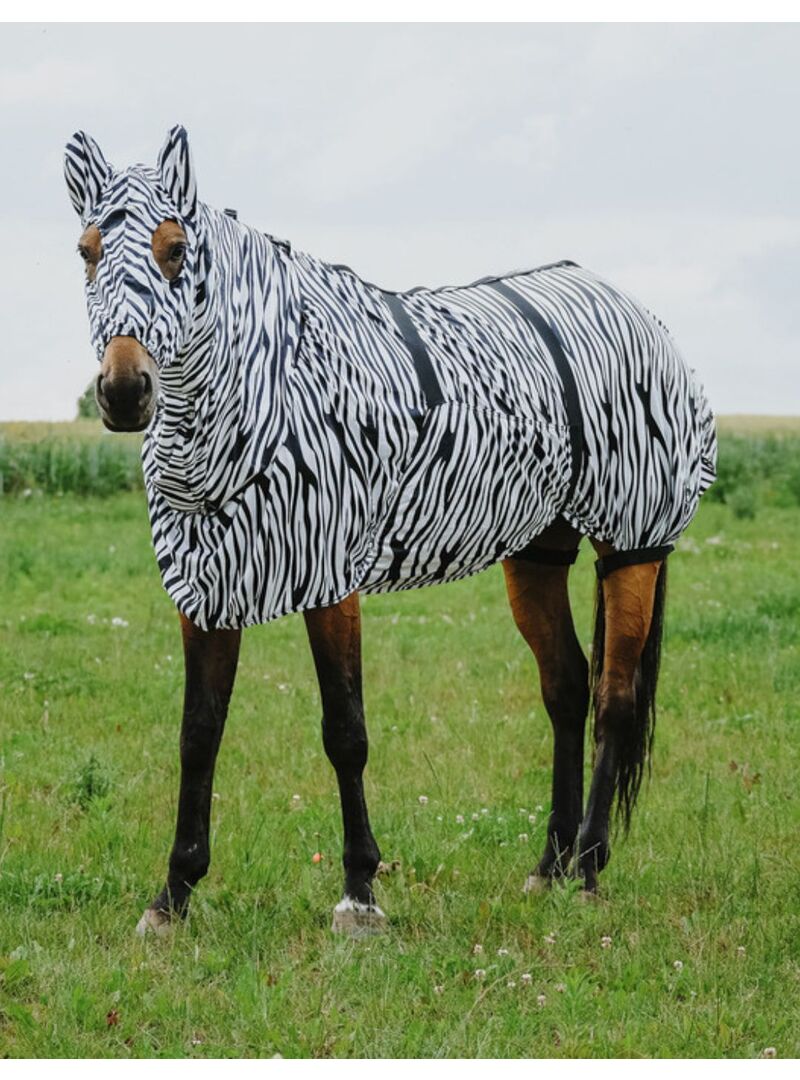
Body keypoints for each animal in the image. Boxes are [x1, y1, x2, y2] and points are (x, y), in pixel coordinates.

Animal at [65, 125, 716, 936]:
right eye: (86, 249)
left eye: (176, 248)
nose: (125, 392)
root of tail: (630, 307)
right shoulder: (209, 585)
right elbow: (198, 735)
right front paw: (173, 896)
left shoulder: (328, 576)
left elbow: (345, 732)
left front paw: (359, 894)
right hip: (537, 552)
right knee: (566, 687)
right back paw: (549, 868)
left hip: (632, 546)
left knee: (615, 701)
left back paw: (591, 871)